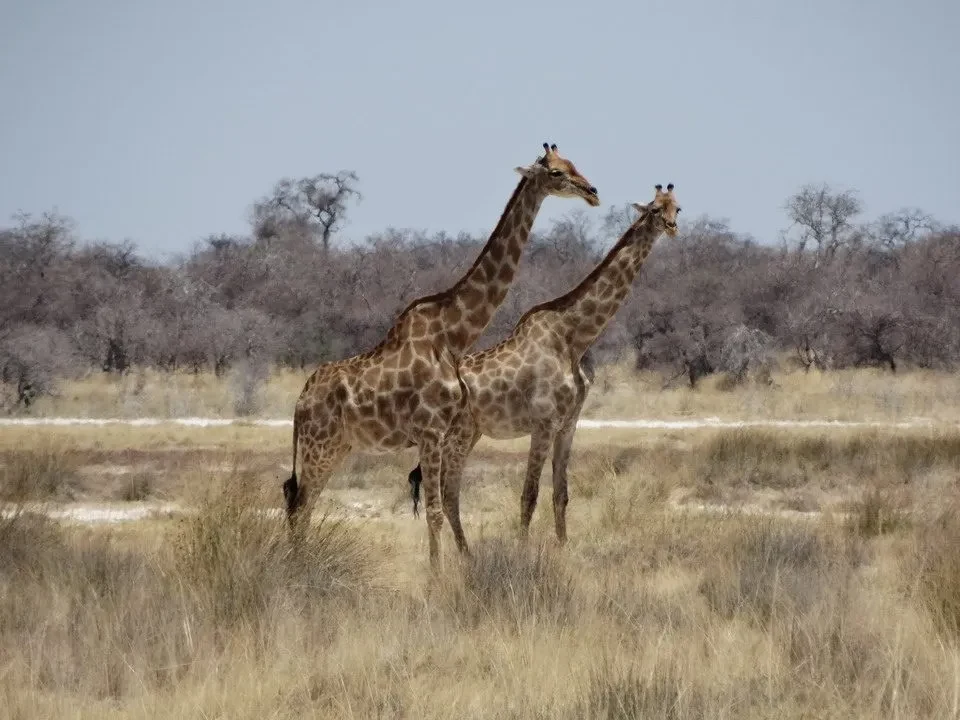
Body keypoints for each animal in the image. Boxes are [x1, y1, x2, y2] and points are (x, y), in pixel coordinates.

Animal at [284, 143, 600, 568]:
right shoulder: (431, 431)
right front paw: (437, 576)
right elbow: (434, 510)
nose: (592, 192)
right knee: (300, 505)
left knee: (302, 503)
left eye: (572, 164)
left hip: (336, 447)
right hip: (320, 447)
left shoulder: (442, 432)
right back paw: (296, 566)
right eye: (555, 173)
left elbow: (439, 506)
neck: (453, 336)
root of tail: (299, 403)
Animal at [407, 184, 681, 550]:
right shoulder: (543, 422)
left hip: (470, 433)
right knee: (448, 494)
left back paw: (466, 554)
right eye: (653, 209)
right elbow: (529, 494)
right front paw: (523, 552)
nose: (672, 227)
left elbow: (560, 494)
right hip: (454, 435)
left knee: (448, 493)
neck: (574, 339)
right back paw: (465, 555)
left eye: (677, 208)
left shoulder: (568, 424)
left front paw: (563, 548)